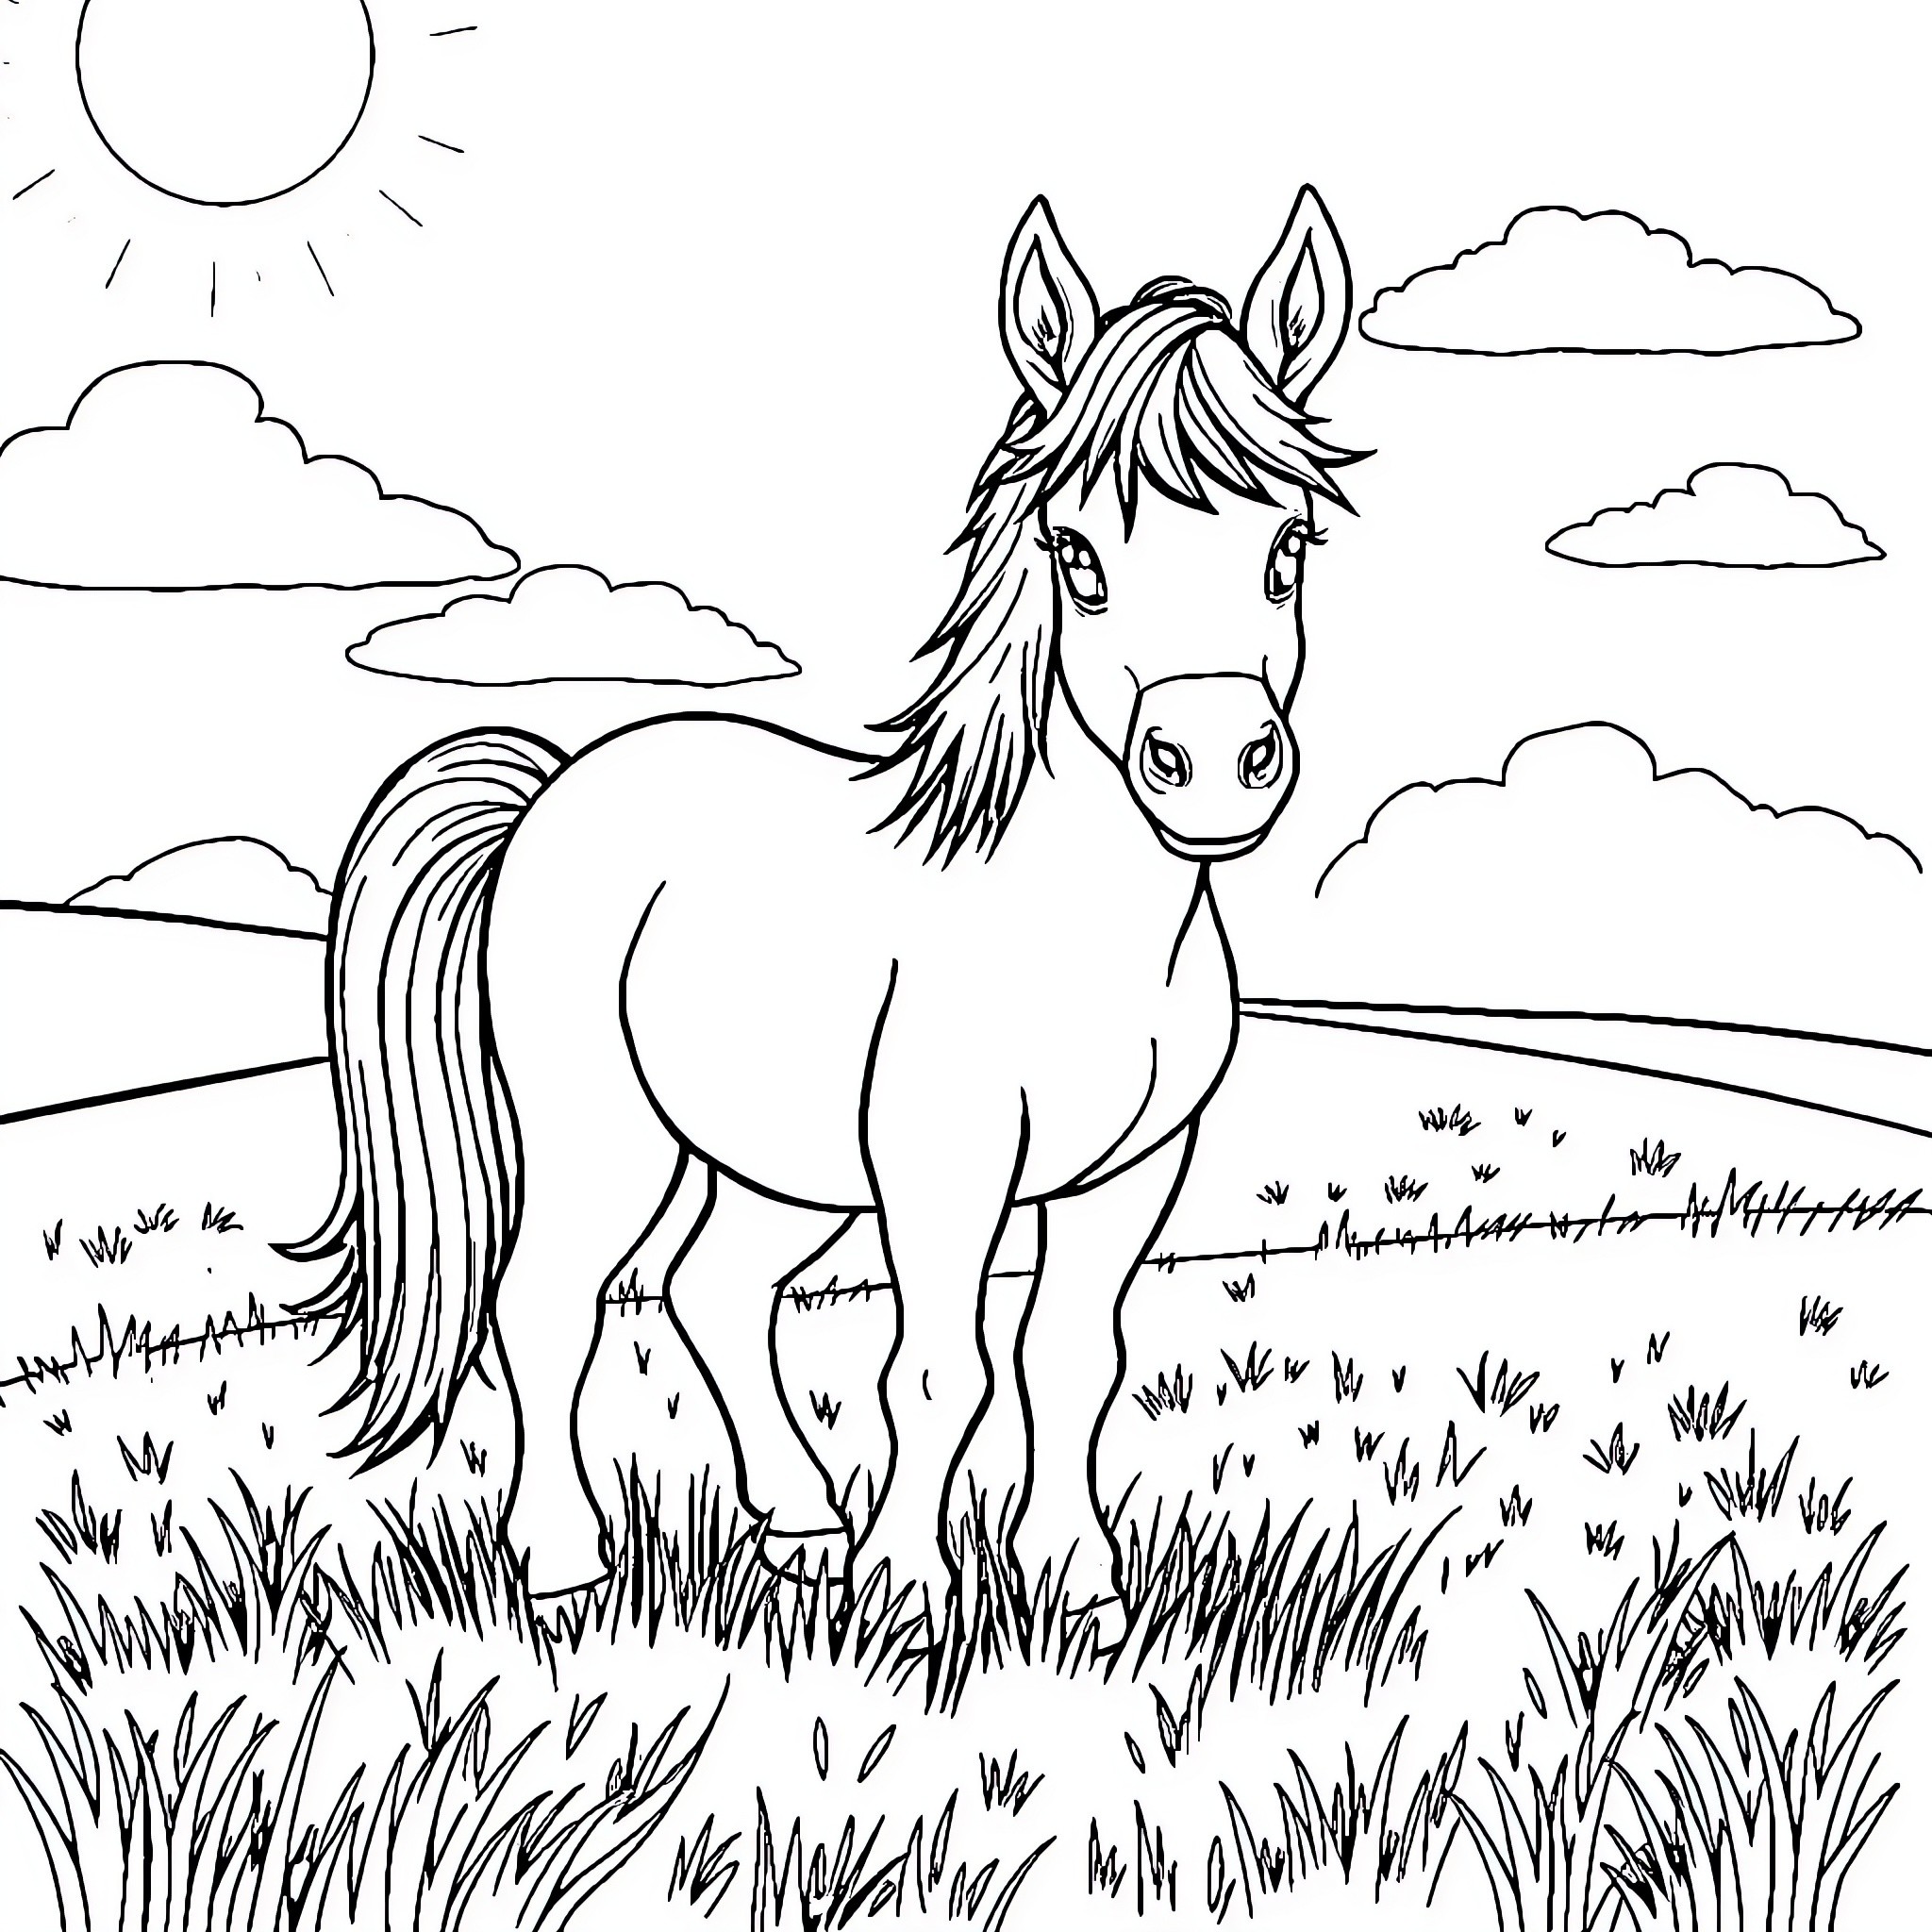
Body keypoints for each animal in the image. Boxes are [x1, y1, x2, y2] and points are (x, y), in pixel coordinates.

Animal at [286, 187, 1364, 1642]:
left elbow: (1073, 1357)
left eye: (1287, 548)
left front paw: (1078, 1585)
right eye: (1075, 553)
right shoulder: (942, 1168)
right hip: (607, 1134)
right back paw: (566, 1566)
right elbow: (939, 1369)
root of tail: (556, 782)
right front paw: (912, 1599)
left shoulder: (1131, 1173)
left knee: (717, 1289)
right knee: (551, 1299)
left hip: (773, 1160)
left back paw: (799, 1529)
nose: (1206, 761)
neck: (1077, 931)